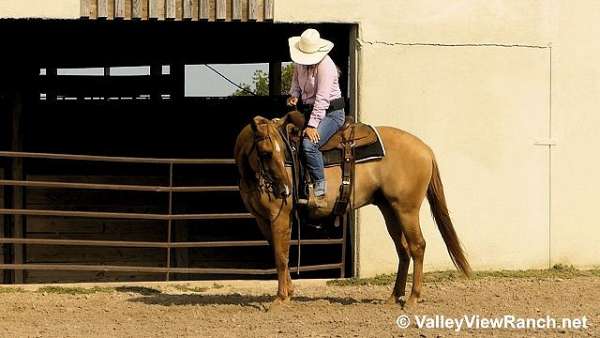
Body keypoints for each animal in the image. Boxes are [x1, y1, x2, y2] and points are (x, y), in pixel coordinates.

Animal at [232, 110, 472, 306]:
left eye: (280, 152)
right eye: (265, 153)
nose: (284, 190)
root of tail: (426, 149)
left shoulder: (280, 215)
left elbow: (281, 256)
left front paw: (281, 297)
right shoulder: (262, 219)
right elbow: (278, 252)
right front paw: (288, 292)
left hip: (407, 209)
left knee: (418, 246)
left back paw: (413, 298)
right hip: (389, 209)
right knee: (403, 249)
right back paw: (394, 297)